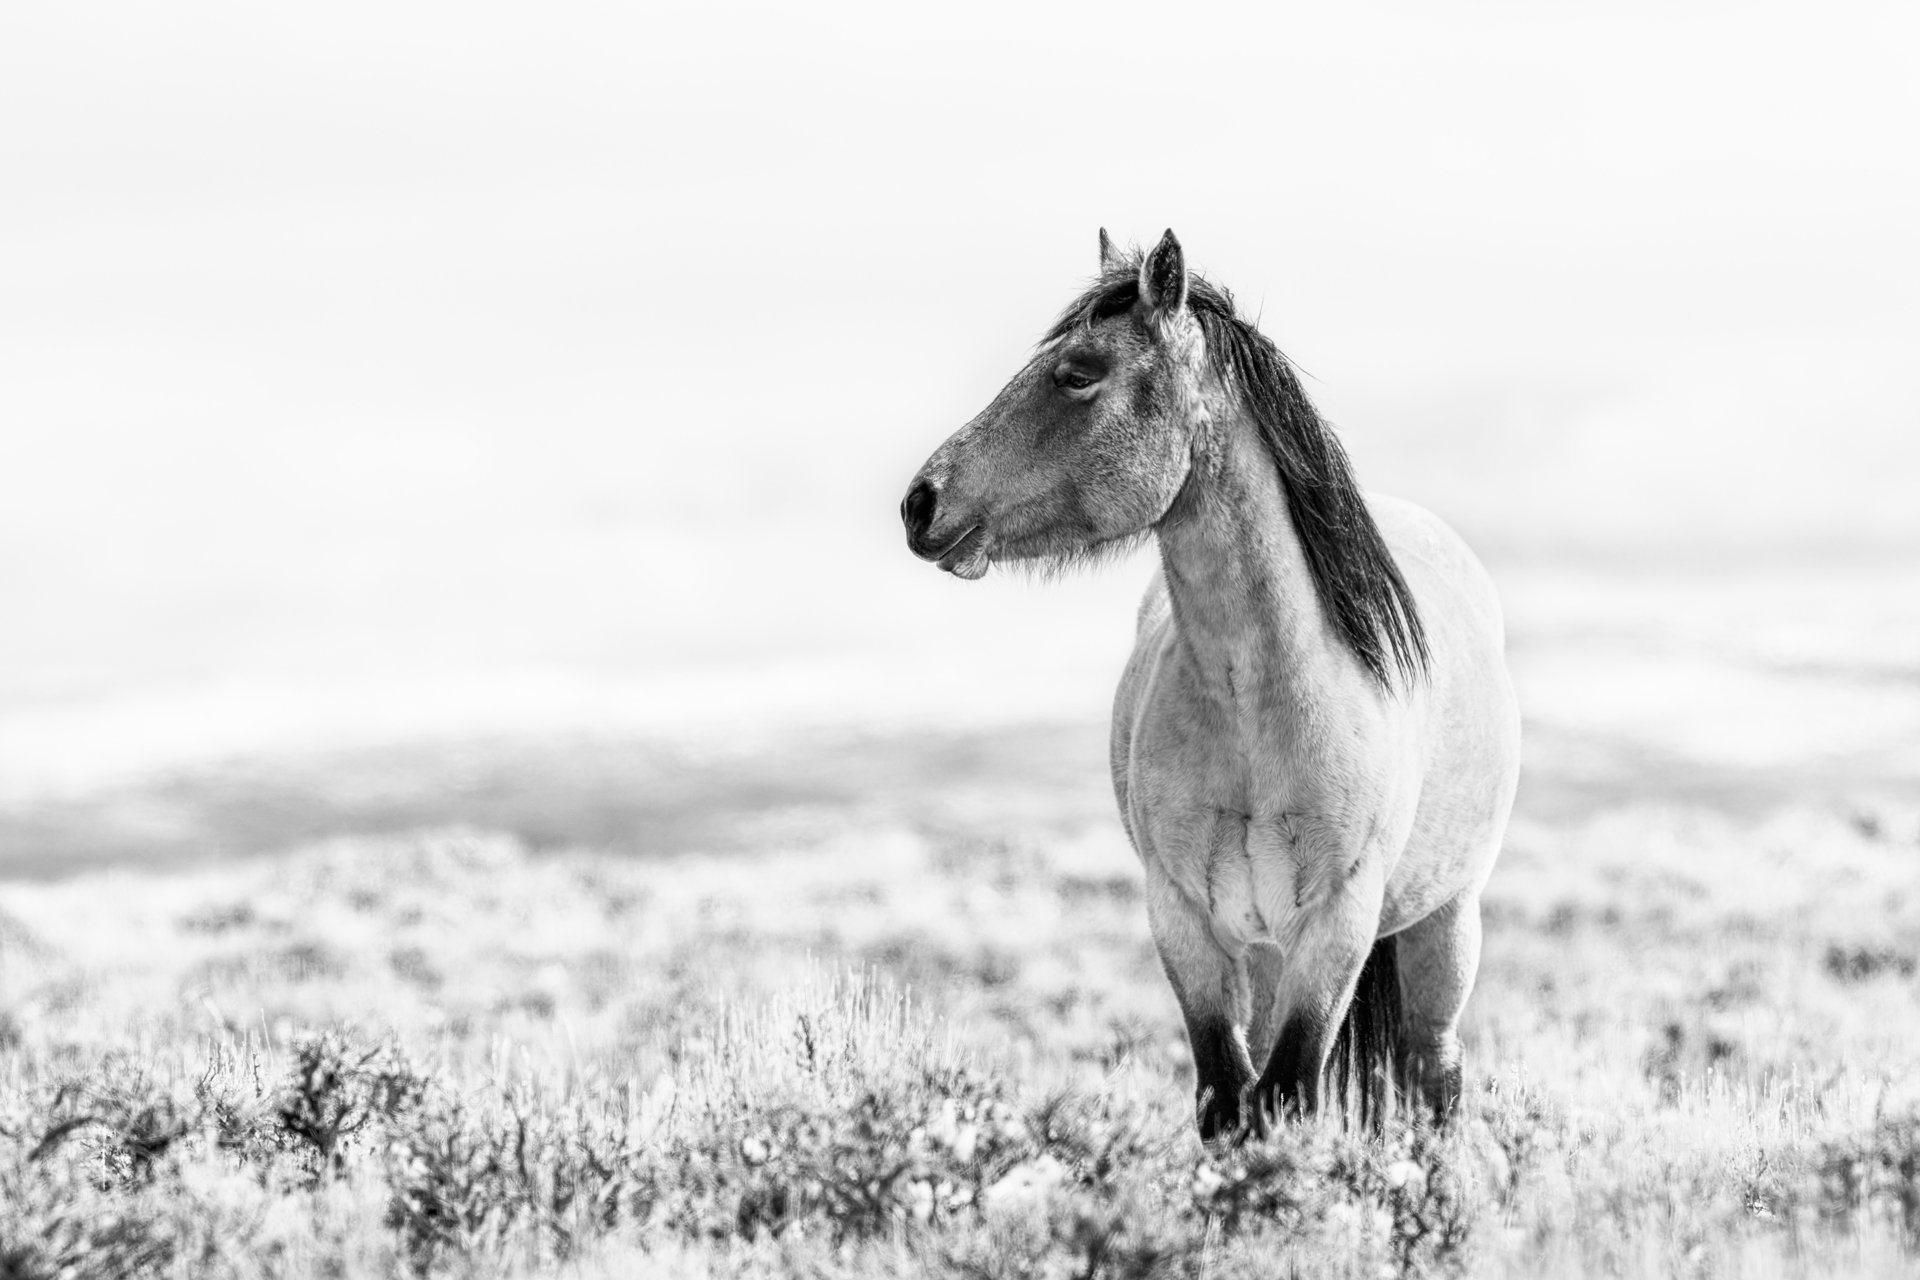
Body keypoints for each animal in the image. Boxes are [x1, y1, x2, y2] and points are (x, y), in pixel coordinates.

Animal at [900, 230, 1520, 1139]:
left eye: (1078, 372)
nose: (920, 502)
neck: (1262, 707)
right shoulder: (1188, 926)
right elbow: (1230, 1101)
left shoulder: (1335, 928)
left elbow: (1287, 1094)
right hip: (1262, 953)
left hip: (1443, 924)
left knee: (1433, 1072)